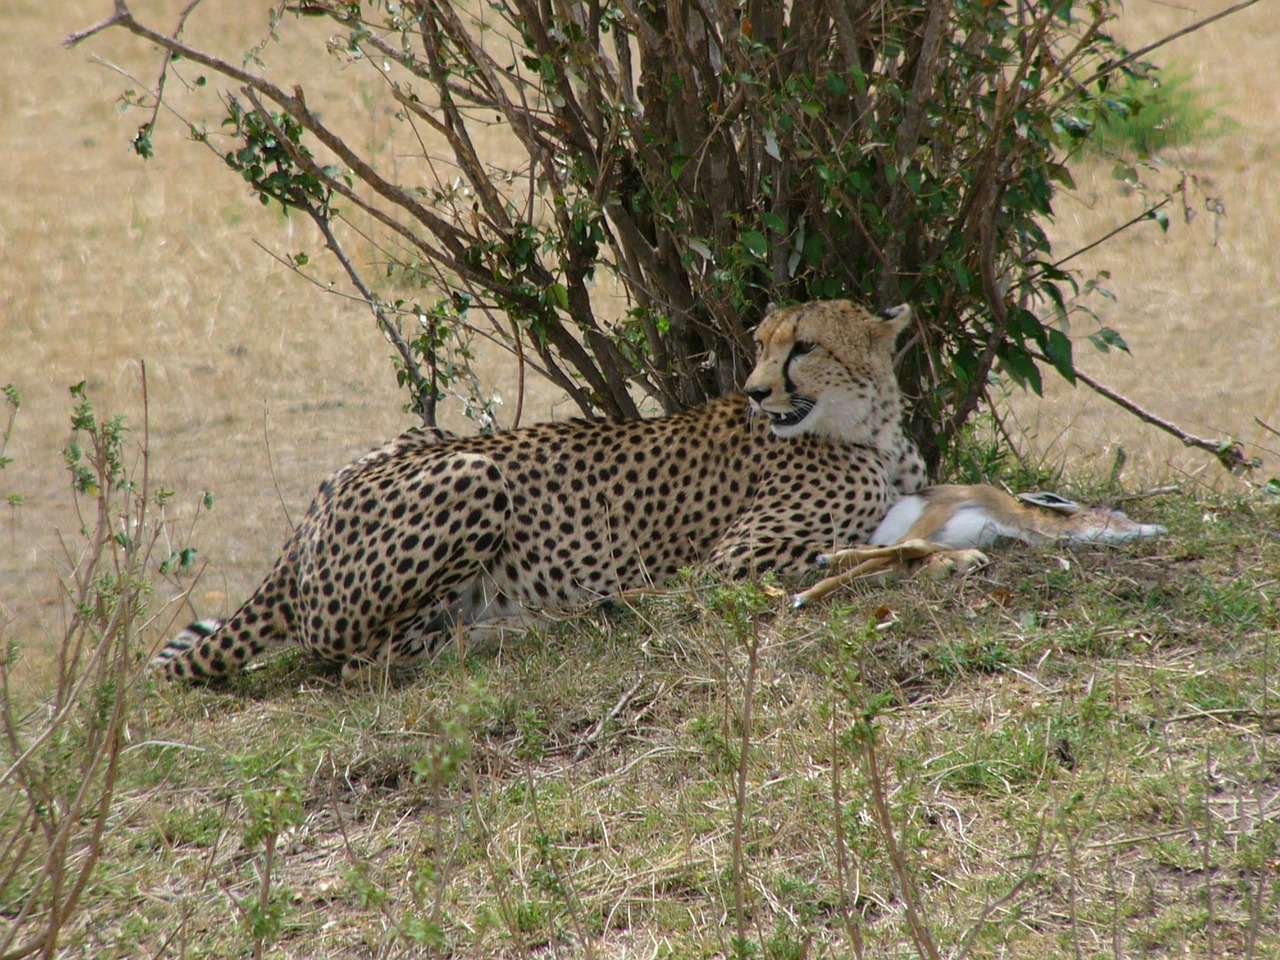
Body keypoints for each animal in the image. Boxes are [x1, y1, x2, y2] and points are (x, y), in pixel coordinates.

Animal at [152, 296, 921, 680]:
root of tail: (298, 541)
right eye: (762, 343)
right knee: (358, 661)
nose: (757, 392)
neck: (870, 426)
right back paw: (528, 626)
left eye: (805, 346)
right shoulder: (727, 566)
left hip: (430, 437)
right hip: (475, 473)